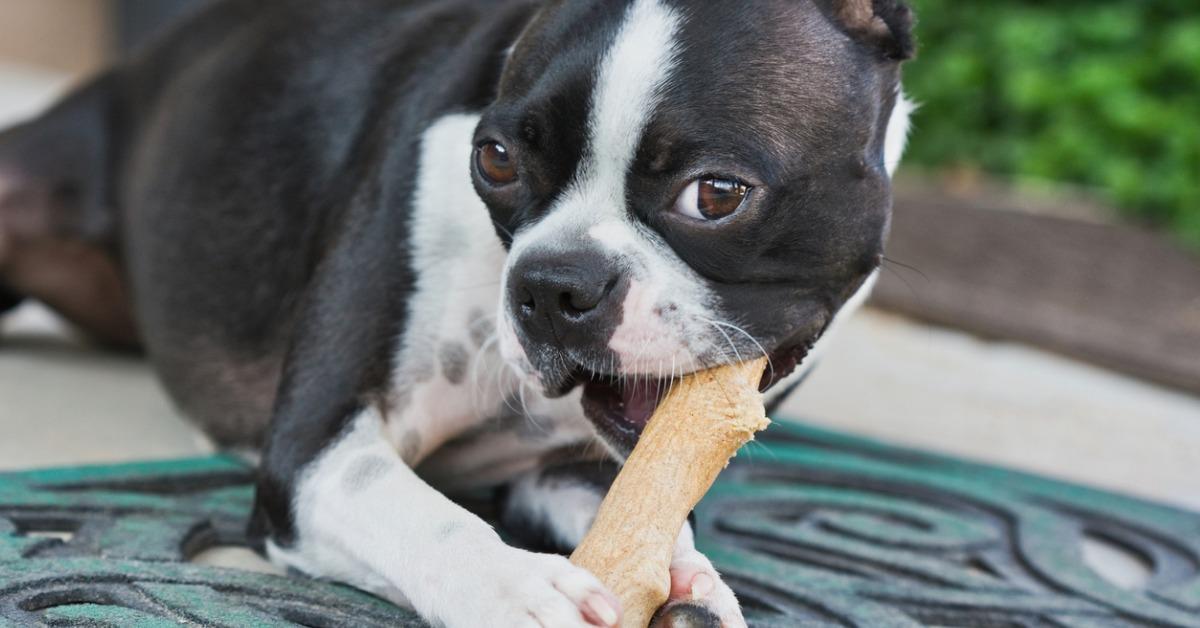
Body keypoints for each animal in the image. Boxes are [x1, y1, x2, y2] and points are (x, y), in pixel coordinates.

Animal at [0, 1, 912, 624]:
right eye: (495, 158)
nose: (553, 284)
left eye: (716, 194)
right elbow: (424, 518)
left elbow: (651, 521)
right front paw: (514, 589)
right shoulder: (312, 454)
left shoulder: (578, 473)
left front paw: (693, 587)